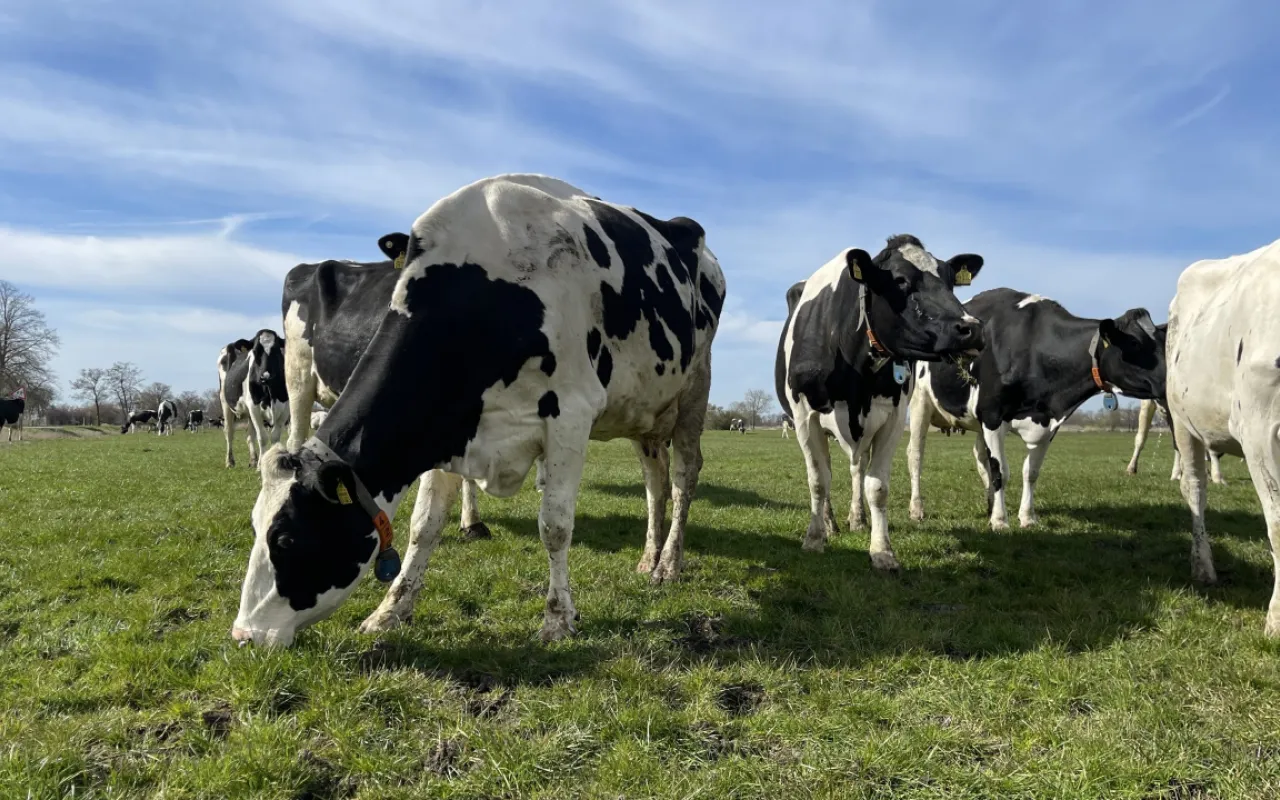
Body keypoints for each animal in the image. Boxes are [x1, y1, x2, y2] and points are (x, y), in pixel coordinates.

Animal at [217, 331, 291, 468]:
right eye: (255, 351)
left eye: (277, 351)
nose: (265, 376)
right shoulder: (254, 407)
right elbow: (262, 437)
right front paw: (261, 465)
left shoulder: (285, 409)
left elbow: (275, 437)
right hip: (225, 402)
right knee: (229, 432)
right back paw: (230, 462)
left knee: (250, 435)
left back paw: (253, 460)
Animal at [776, 234, 985, 566]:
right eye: (899, 280)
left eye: (951, 280)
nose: (972, 328)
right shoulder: (804, 416)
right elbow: (819, 480)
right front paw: (814, 539)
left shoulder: (893, 418)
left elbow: (877, 486)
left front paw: (882, 550)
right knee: (829, 472)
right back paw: (830, 524)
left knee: (856, 468)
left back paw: (857, 519)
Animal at [907, 290, 1167, 529]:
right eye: (1134, 343)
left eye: (1163, 344)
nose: (1168, 381)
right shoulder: (992, 416)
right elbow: (1001, 471)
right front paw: (1000, 521)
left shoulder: (1047, 423)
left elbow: (1030, 472)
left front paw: (1026, 517)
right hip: (920, 402)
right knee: (916, 454)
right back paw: (917, 509)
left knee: (980, 457)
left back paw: (990, 505)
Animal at [1165, 239, 1280, 636]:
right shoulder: (1260, 432)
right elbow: (1278, 524)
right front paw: (1276, 621)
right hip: (1182, 422)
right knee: (1194, 489)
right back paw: (1203, 567)